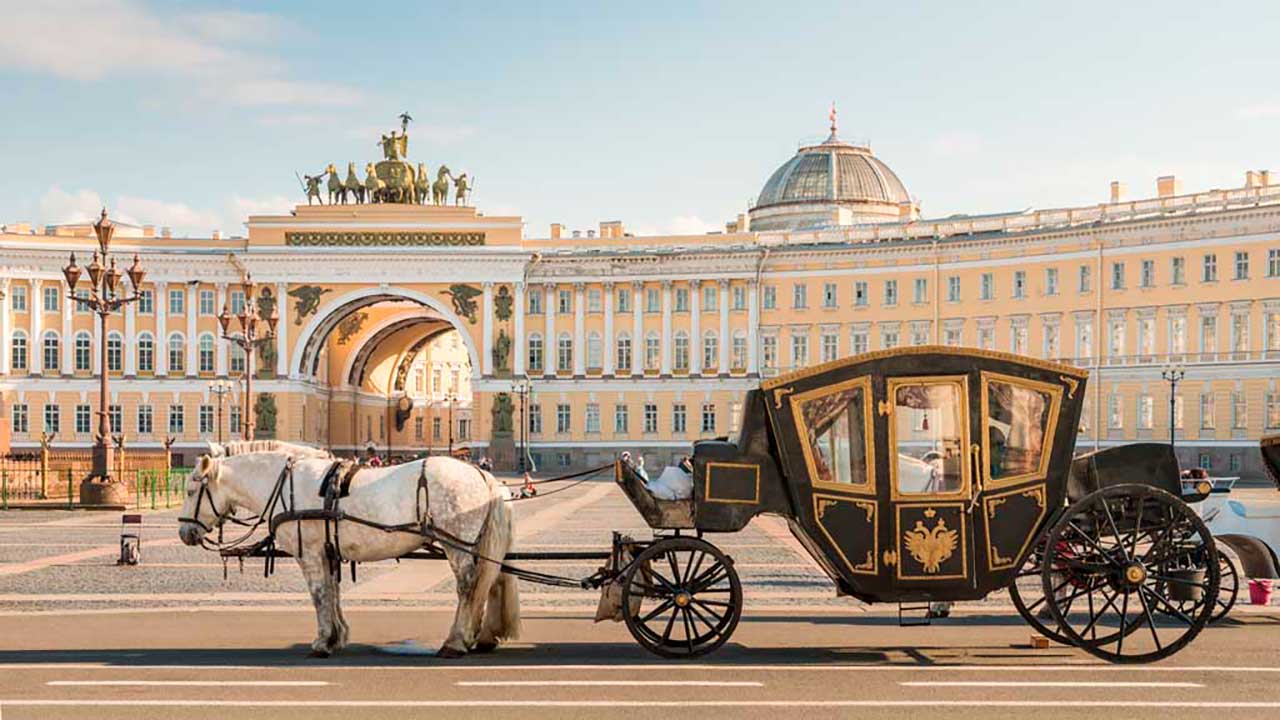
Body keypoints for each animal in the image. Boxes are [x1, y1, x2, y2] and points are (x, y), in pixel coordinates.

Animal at [176, 438, 519, 655]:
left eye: (192, 489)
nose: (183, 532)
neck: (286, 485)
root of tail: (481, 472)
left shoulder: (309, 554)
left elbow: (319, 595)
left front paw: (322, 642)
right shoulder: (328, 552)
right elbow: (333, 592)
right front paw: (337, 636)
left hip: (458, 545)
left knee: (468, 588)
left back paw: (456, 641)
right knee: (486, 584)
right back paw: (477, 637)